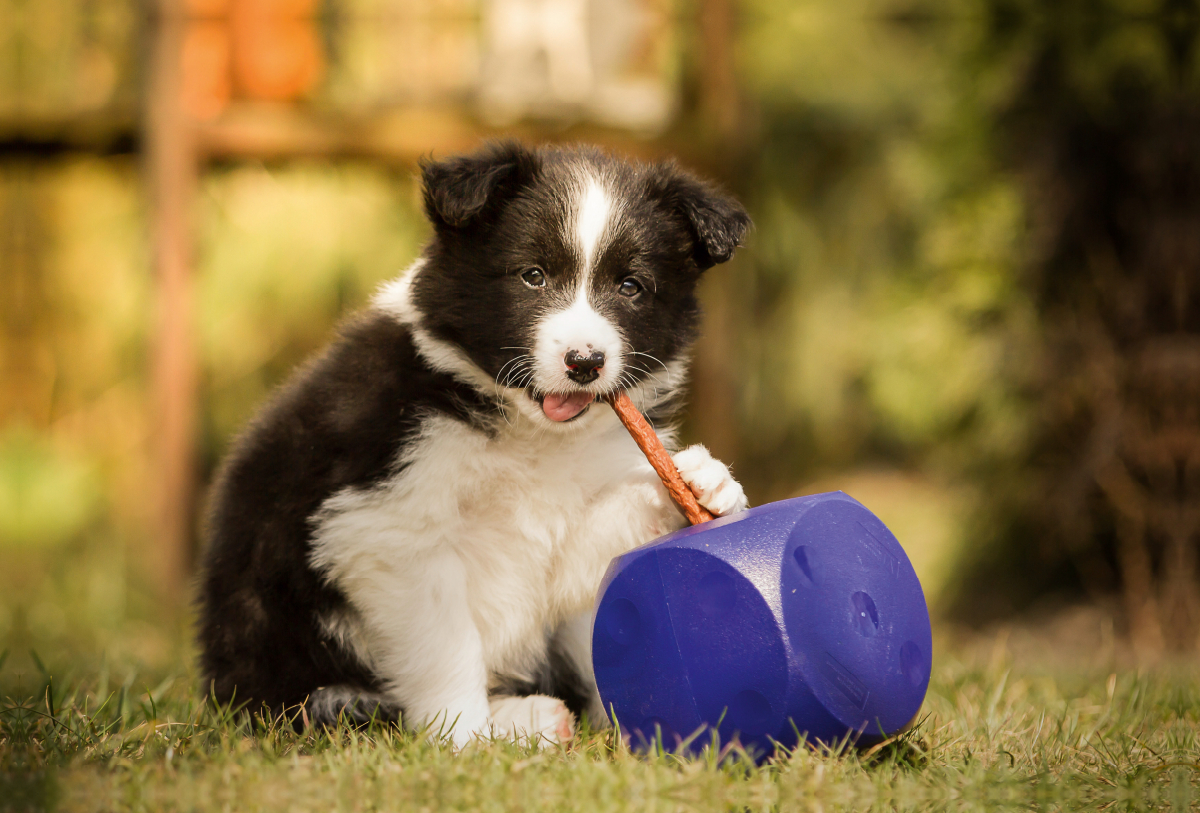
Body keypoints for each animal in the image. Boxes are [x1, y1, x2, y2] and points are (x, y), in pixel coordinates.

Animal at [201, 143, 753, 748]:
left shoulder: (558, 536)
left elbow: (593, 550)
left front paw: (706, 484)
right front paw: (462, 739)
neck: (530, 432)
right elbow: (446, 645)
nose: (585, 363)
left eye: (631, 287)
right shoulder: (388, 525)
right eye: (533, 276)